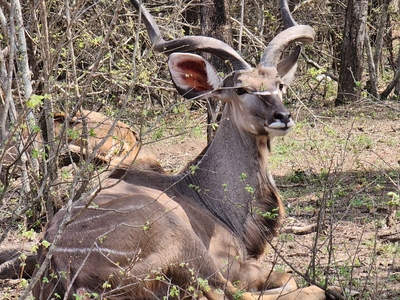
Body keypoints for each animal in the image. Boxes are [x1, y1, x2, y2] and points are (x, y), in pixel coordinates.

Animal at [33, 0, 328, 298]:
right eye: (241, 90)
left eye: (279, 85)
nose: (282, 117)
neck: (209, 198)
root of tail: (68, 273)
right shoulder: (233, 265)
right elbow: (286, 278)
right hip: (184, 241)